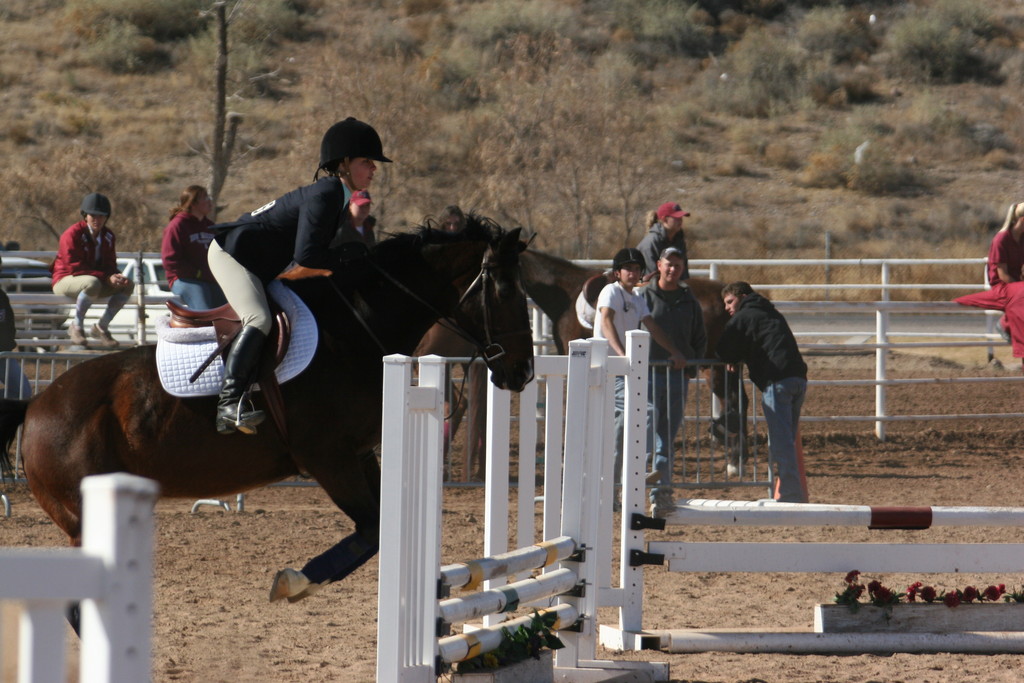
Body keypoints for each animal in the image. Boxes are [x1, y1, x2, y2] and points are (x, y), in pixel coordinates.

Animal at [2, 218, 536, 602]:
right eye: (505, 291)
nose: (523, 372)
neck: (357, 328)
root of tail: (37, 405)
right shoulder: (327, 458)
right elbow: (371, 529)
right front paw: (293, 582)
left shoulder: (360, 454)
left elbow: (381, 528)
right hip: (83, 512)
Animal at [417, 248, 753, 479]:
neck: (564, 293)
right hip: (723, 368)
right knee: (739, 402)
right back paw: (736, 458)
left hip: (716, 368)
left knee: (734, 402)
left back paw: (734, 460)